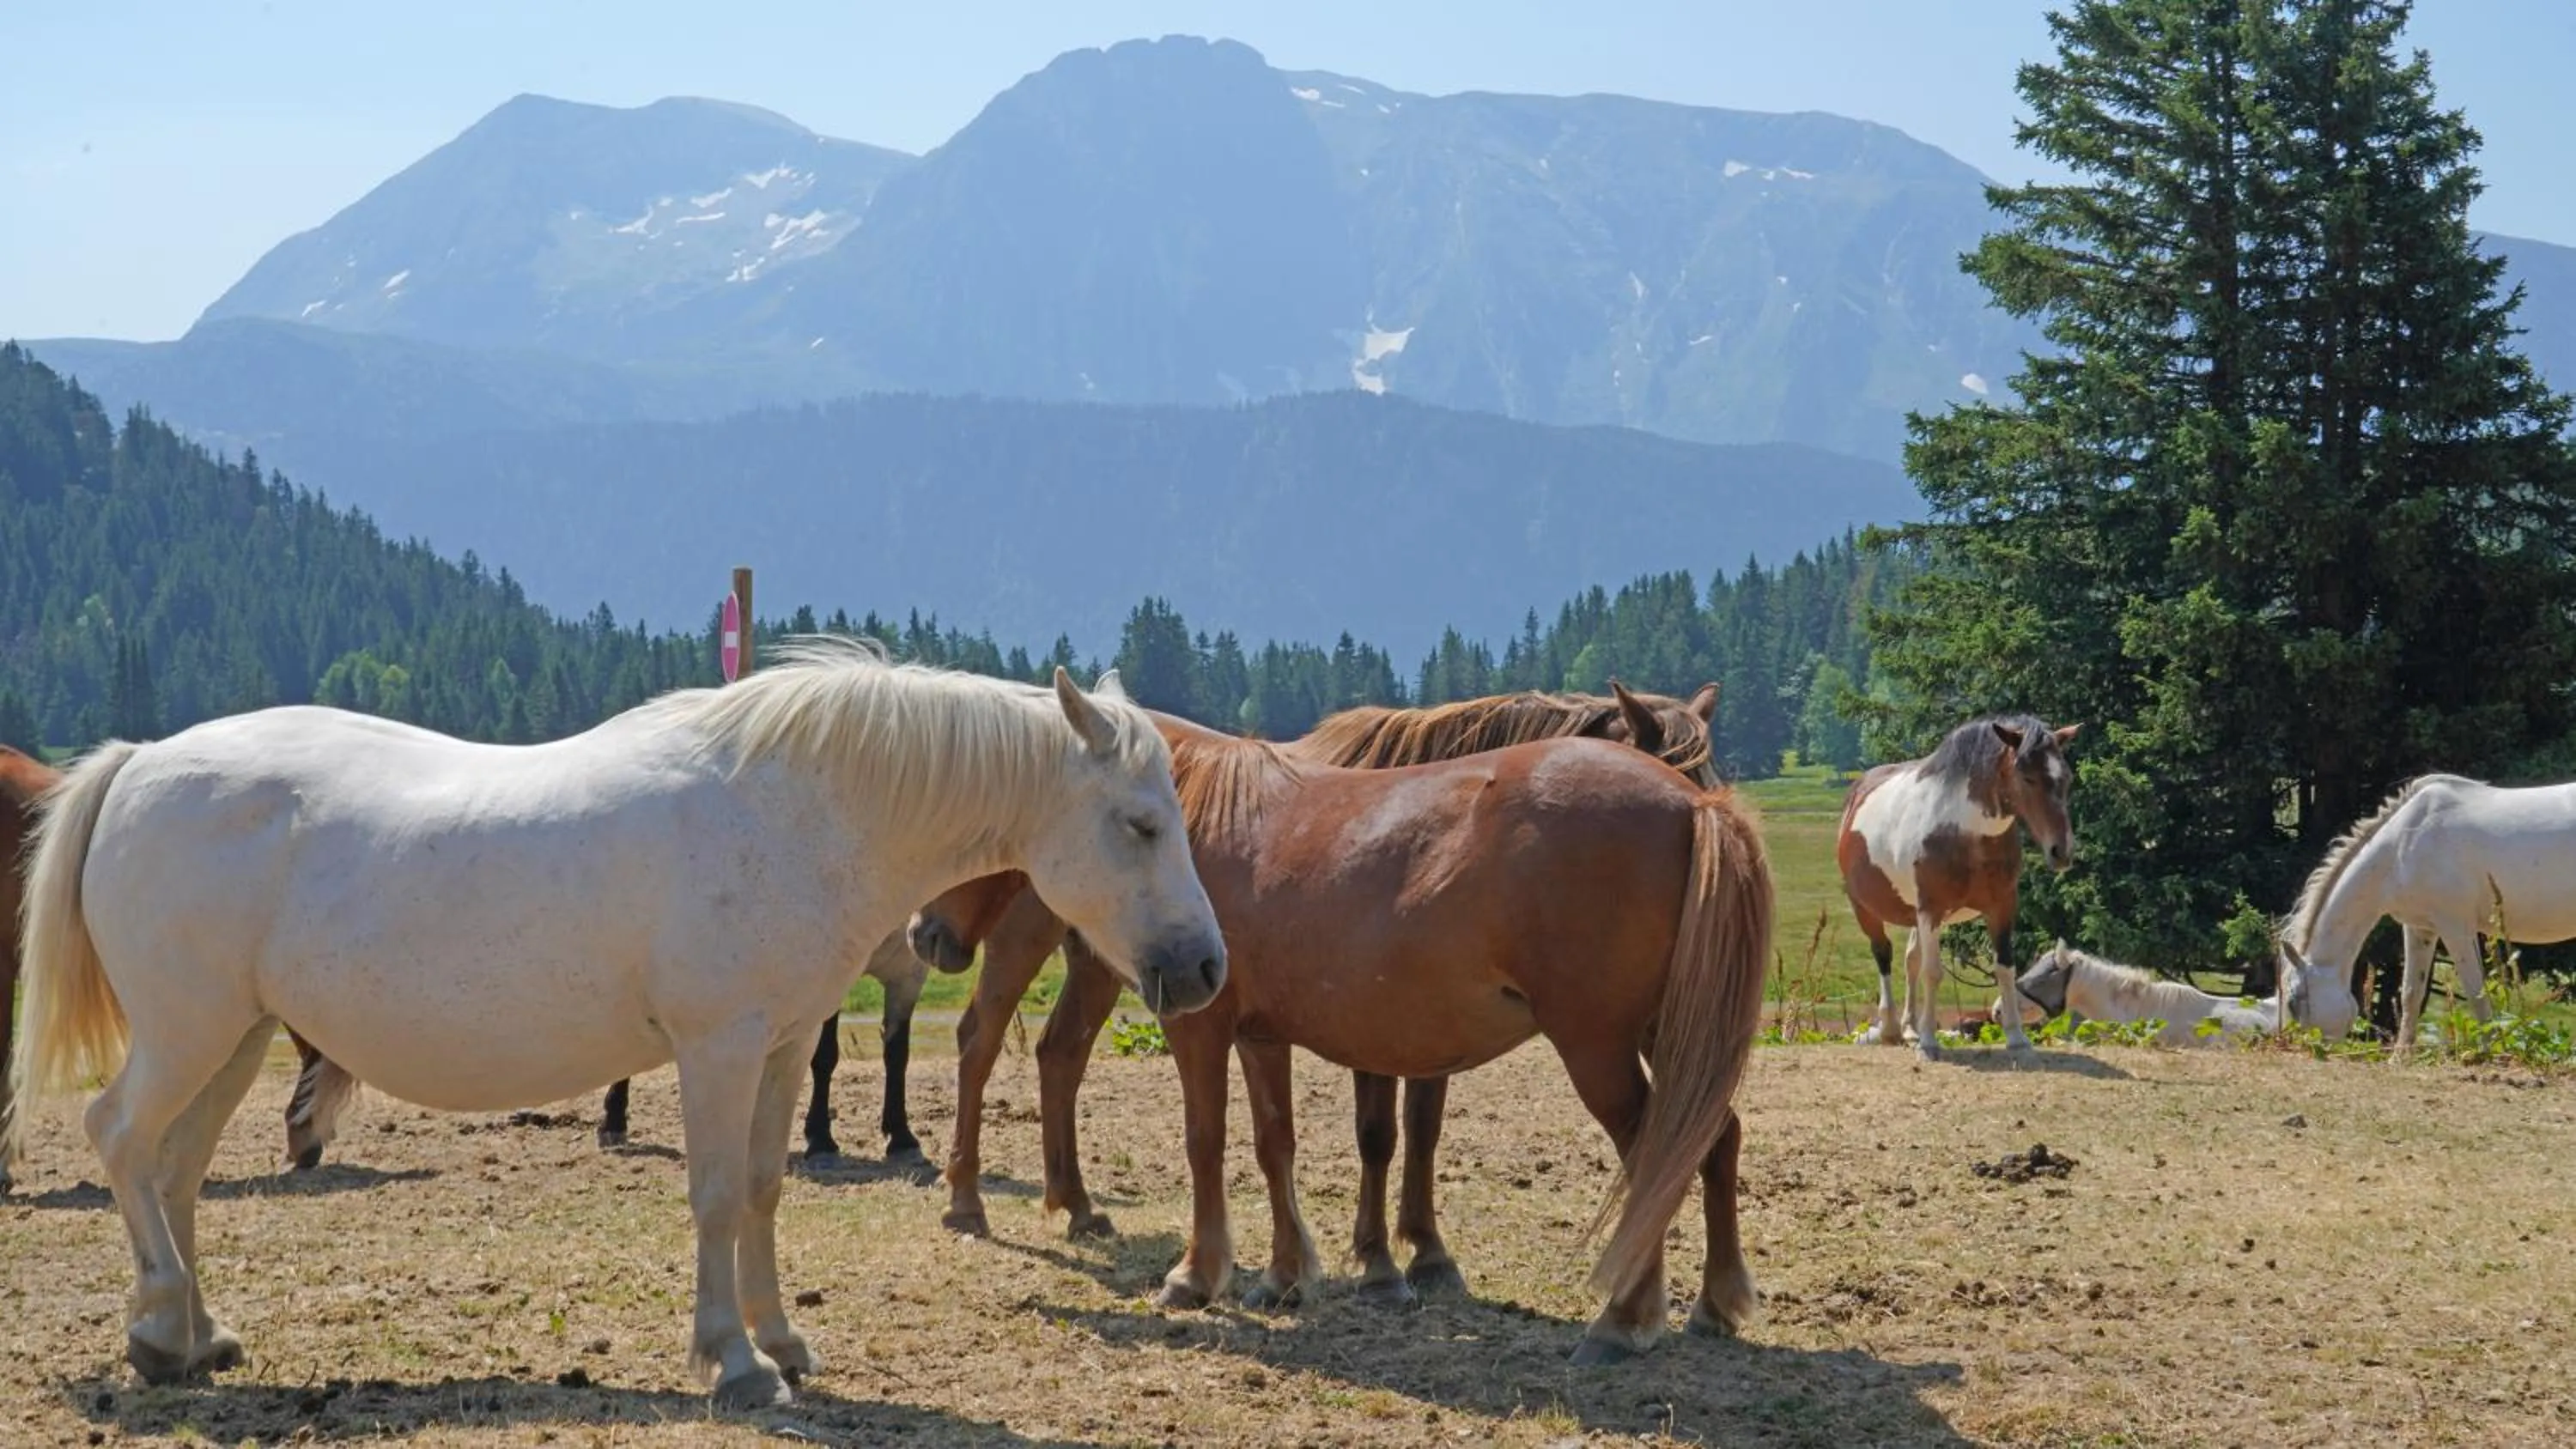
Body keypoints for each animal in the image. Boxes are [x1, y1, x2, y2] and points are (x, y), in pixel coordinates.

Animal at [4, 640, 1226, 1407]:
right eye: (1140, 821)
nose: (1206, 965)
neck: (795, 808)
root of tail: (140, 762)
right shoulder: (718, 1046)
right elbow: (717, 1193)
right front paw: (733, 1359)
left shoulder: (782, 1044)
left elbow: (767, 1186)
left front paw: (782, 1339)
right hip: (188, 1031)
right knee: (121, 1138)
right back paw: (159, 1322)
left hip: (238, 1037)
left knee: (173, 1170)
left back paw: (191, 1336)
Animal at [915, 713, 1772, 1363]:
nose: (924, 932)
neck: (1189, 817)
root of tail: (1693, 802)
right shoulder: (1260, 1035)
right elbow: (1275, 1144)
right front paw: (1286, 1273)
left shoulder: (1200, 1025)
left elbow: (1206, 1141)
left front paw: (1198, 1273)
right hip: (1670, 1034)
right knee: (1713, 1136)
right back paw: (1715, 1301)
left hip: (1598, 1045)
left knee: (1656, 1152)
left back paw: (1625, 1319)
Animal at [1836, 714, 2081, 1060]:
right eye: (2028, 777)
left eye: (2066, 778)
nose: (2062, 852)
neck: (1963, 832)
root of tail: (1858, 790)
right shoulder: (1931, 909)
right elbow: (1933, 972)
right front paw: (1929, 1043)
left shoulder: (2001, 906)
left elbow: (2005, 968)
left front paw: (2017, 1038)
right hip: (1865, 908)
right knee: (1883, 955)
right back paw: (1891, 1028)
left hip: (1914, 917)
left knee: (1910, 959)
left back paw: (1909, 1028)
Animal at [2277, 773, 2576, 1048]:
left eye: (2293, 1002)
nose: (2307, 1048)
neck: (2403, 843)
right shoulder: (2420, 928)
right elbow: (2411, 993)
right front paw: (2400, 1056)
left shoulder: (2456, 929)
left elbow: (2476, 994)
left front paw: (2488, 1052)